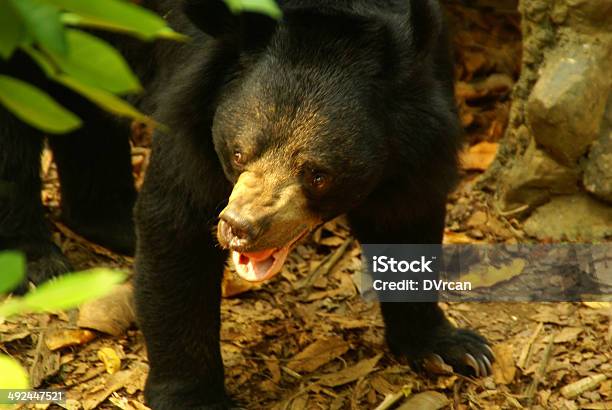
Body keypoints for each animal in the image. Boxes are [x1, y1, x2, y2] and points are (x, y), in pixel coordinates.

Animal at [131, 0, 494, 406]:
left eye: (318, 175)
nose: (239, 227)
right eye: (238, 153)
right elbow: (177, 223)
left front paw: (454, 349)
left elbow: (407, 214)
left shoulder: (423, 111)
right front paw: (193, 397)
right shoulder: (191, 111)